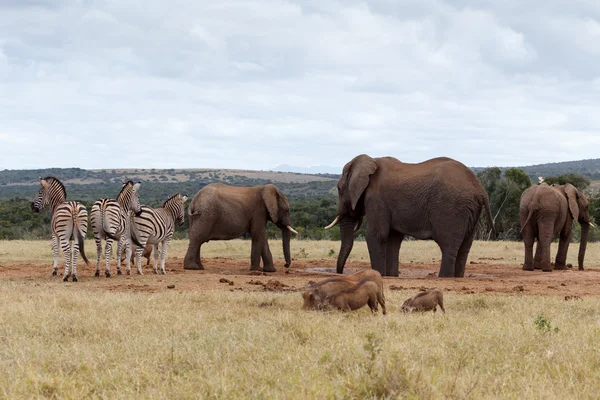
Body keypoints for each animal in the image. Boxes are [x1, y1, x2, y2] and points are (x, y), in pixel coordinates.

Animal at [326, 154, 494, 278]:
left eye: (339, 188)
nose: (340, 273)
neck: (371, 162)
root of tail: (480, 189)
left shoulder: (376, 199)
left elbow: (376, 234)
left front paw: (379, 275)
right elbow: (393, 239)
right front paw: (391, 276)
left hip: (451, 208)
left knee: (447, 244)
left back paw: (444, 278)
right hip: (469, 211)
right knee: (465, 246)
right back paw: (457, 277)